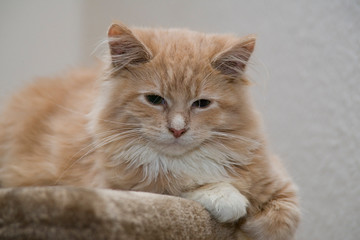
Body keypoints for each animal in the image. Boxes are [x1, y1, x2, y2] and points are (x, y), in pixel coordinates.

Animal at [0, 23, 300, 240]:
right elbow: (177, 186)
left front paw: (245, 224)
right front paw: (228, 200)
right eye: (155, 100)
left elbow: (277, 221)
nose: (177, 129)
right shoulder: (117, 186)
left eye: (201, 104)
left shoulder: (282, 191)